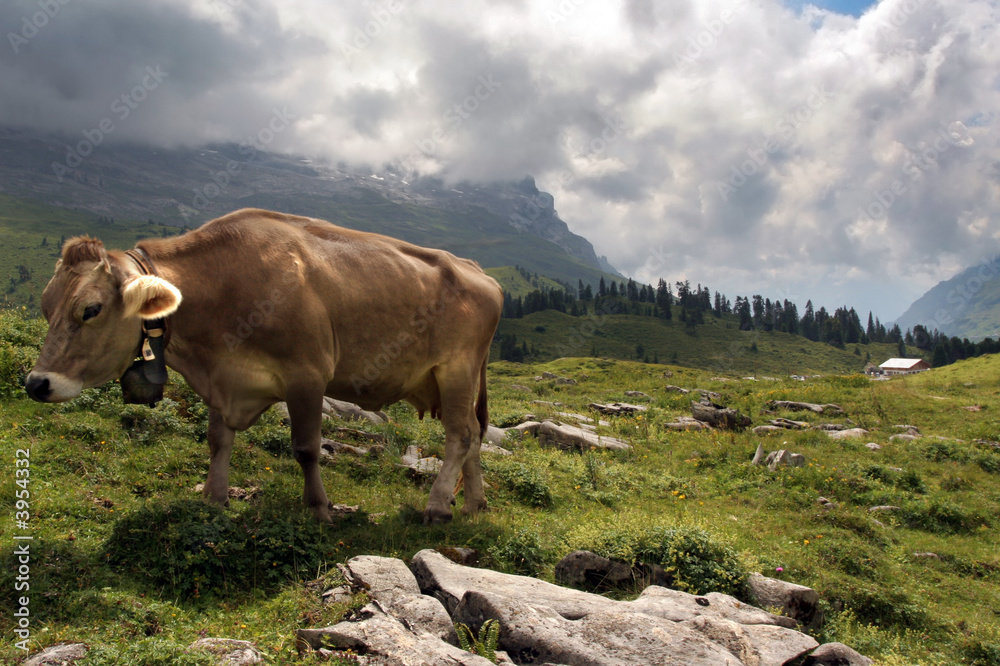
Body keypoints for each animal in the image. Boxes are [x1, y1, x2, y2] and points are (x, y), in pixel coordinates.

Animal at [24, 208, 503, 524]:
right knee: (474, 434)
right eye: (46, 305)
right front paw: (214, 498)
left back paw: (438, 506)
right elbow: (218, 440)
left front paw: (319, 509)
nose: (36, 383)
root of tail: (479, 271)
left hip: (456, 369)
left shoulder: (307, 374)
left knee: (460, 435)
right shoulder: (223, 379)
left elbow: (306, 447)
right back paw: (474, 504)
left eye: (90, 309)